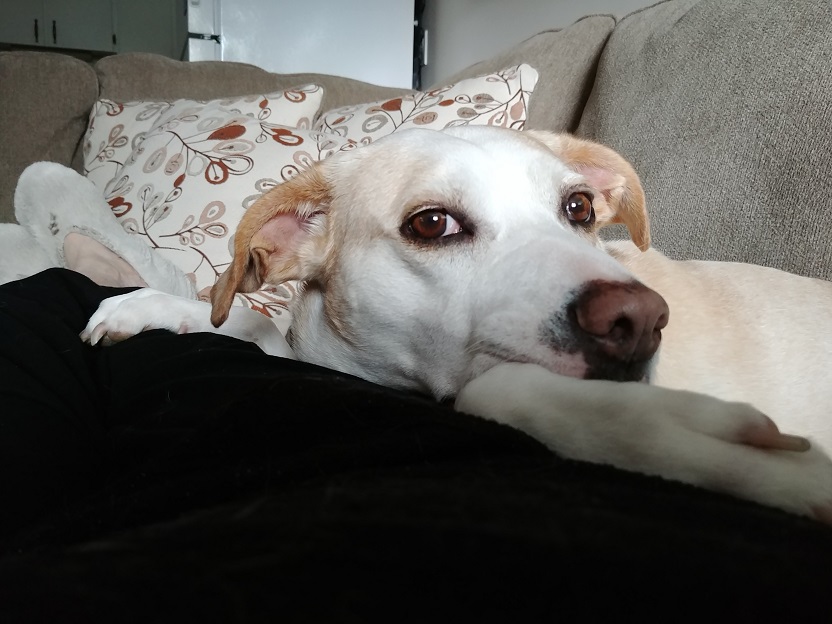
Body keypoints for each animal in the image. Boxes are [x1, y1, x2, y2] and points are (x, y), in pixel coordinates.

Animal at [81, 129, 832, 524]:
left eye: (580, 208)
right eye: (432, 224)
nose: (640, 322)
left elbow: (493, 390)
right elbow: (253, 326)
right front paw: (158, 307)